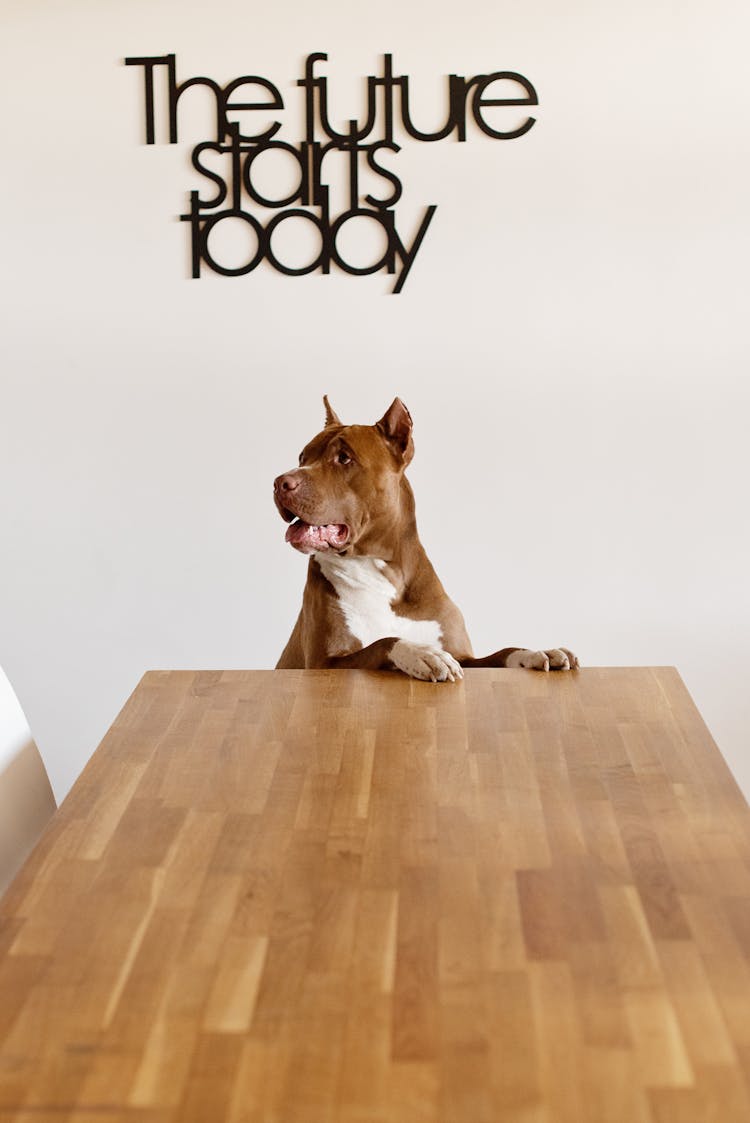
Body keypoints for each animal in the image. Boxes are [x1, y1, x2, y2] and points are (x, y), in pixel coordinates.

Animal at [272, 402, 579, 682]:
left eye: (344, 458)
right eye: (302, 457)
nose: (280, 483)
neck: (381, 571)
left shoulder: (464, 656)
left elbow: (501, 653)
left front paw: (536, 652)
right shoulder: (324, 664)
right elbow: (383, 643)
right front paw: (422, 653)